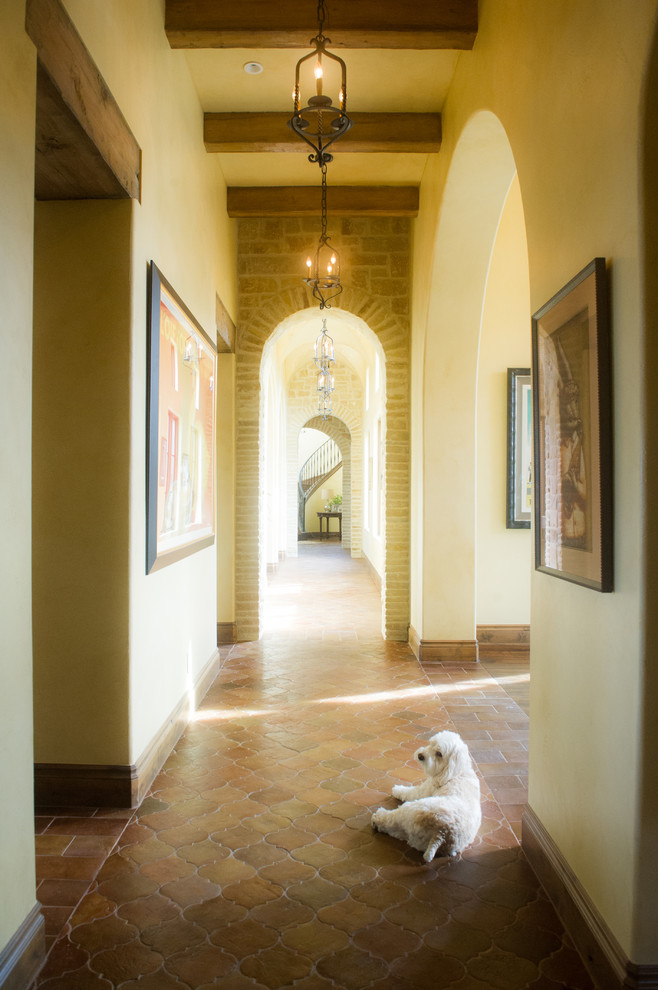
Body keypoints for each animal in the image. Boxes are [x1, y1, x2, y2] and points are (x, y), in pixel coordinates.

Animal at [368, 732, 482, 864]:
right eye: (431, 743)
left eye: (439, 754)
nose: (420, 756)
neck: (458, 773)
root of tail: (441, 833)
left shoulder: (425, 790)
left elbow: (410, 792)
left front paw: (398, 789)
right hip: (414, 837)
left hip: (411, 810)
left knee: (391, 819)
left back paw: (378, 817)